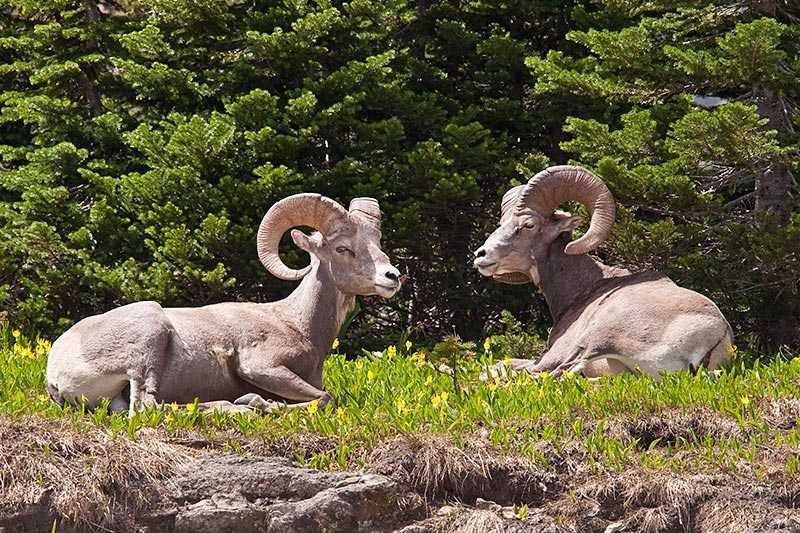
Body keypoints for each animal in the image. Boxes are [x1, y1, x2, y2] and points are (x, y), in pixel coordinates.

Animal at [46, 194, 402, 414]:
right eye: (343, 248)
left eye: (377, 243)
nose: (393, 276)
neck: (296, 324)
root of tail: (55, 373)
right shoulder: (260, 366)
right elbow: (327, 397)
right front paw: (262, 403)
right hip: (148, 341)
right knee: (147, 407)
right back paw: (242, 406)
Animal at [473, 165, 733, 378]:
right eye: (502, 223)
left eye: (528, 225)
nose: (481, 255)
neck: (584, 290)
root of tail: (715, 333)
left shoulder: (552, 355)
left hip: (596, 338)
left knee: (557, 374)